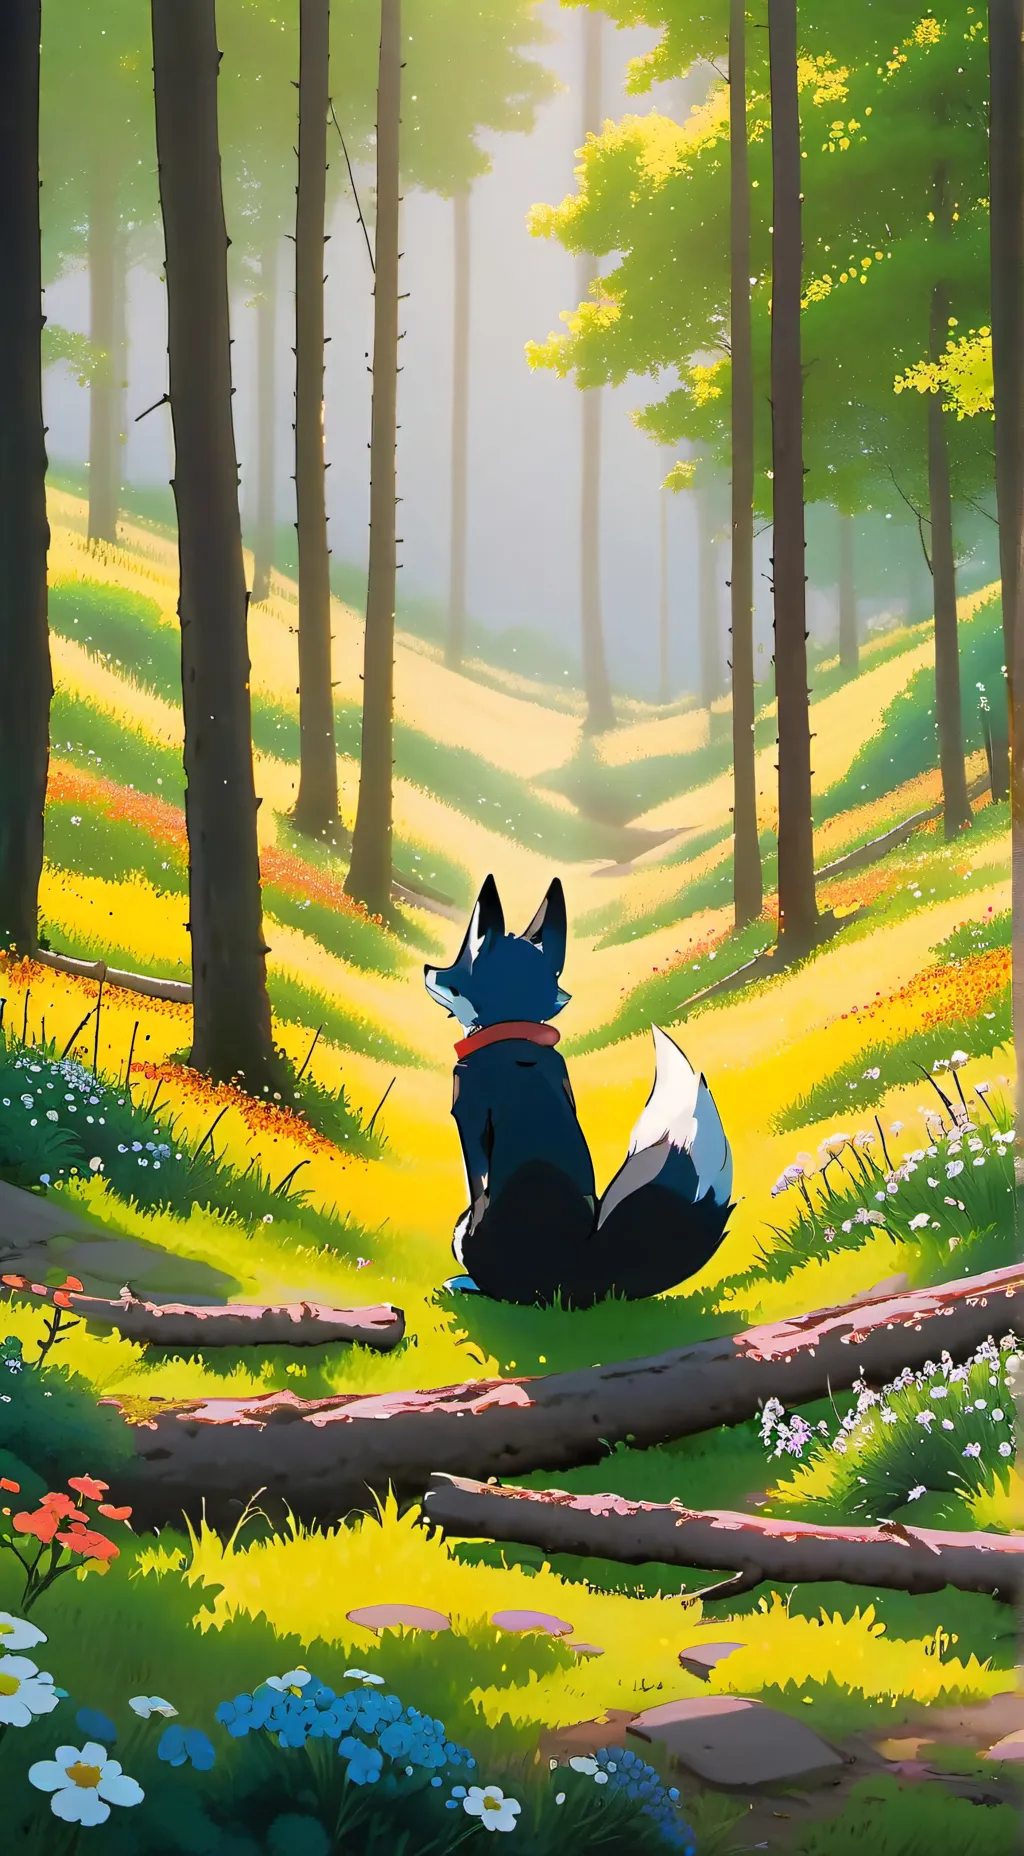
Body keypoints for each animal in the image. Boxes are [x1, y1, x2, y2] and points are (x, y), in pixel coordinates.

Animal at [424, 874, 734, 1307]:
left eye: (452, 968)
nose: (424, 969)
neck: (514, 1033)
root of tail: (583, 1276)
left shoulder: (469, 1124)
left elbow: (475, 1179)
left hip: (464, 1232)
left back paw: (464, 1284)